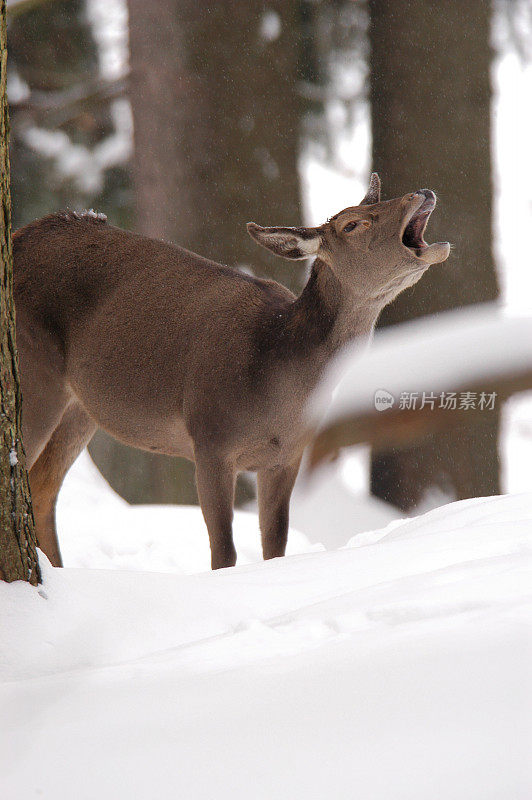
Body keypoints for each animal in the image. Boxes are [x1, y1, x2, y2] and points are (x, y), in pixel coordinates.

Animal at [13, 174, 448, 568]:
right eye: (352, 224)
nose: (421, 192)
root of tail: (17, 234)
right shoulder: (210, 440)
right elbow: (224, 552)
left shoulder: (286, 456)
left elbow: (275, 544)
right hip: (35, 373)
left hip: (80, 408)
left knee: (43, 488)